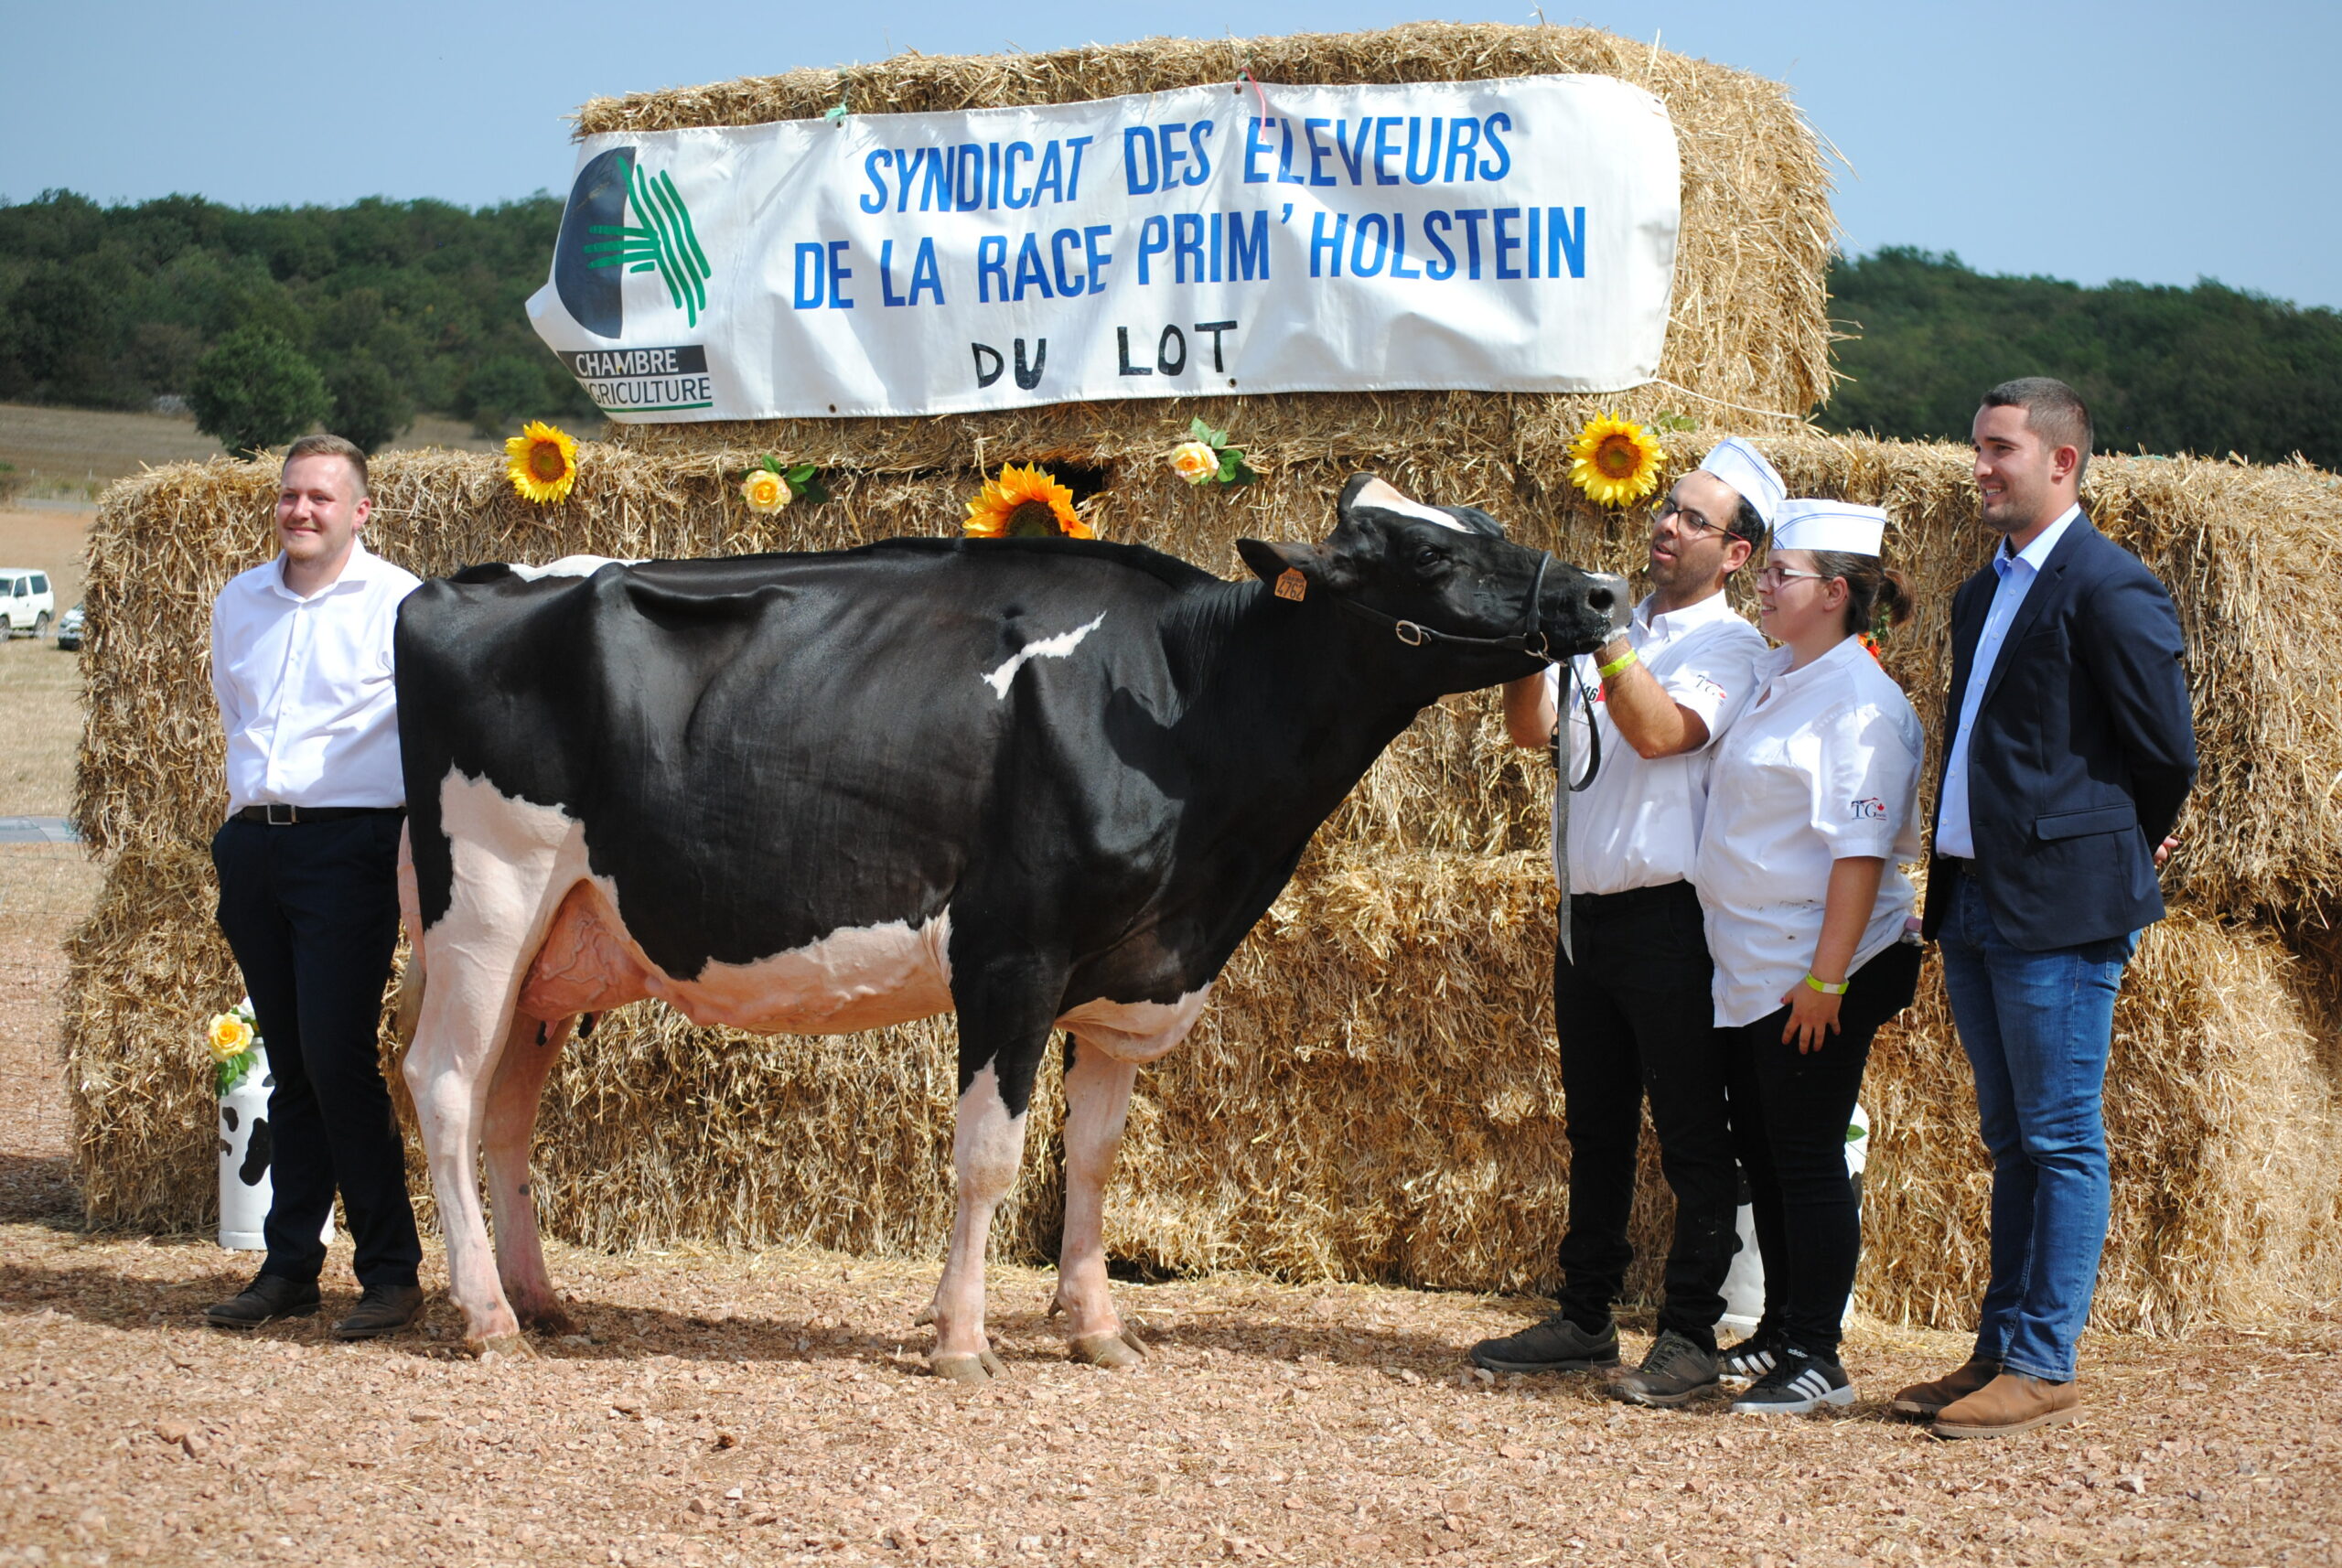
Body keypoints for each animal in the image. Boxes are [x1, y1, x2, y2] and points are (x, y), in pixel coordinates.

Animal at [393, 475, 1620, 1376]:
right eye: (1430, 558)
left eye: (1485, 526)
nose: (1602, 594)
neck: (1183, 710)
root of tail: (455, 585)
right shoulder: (1011, 957)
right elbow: (989, 1157)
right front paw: (962, 1340)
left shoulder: (1127, 975)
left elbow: (1094, 1155)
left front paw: (1096, 1328)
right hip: (485, 904)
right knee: (445, 1086)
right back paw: (487, 1319)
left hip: (557, 946)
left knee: (508, 1107)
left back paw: (539, 1299)